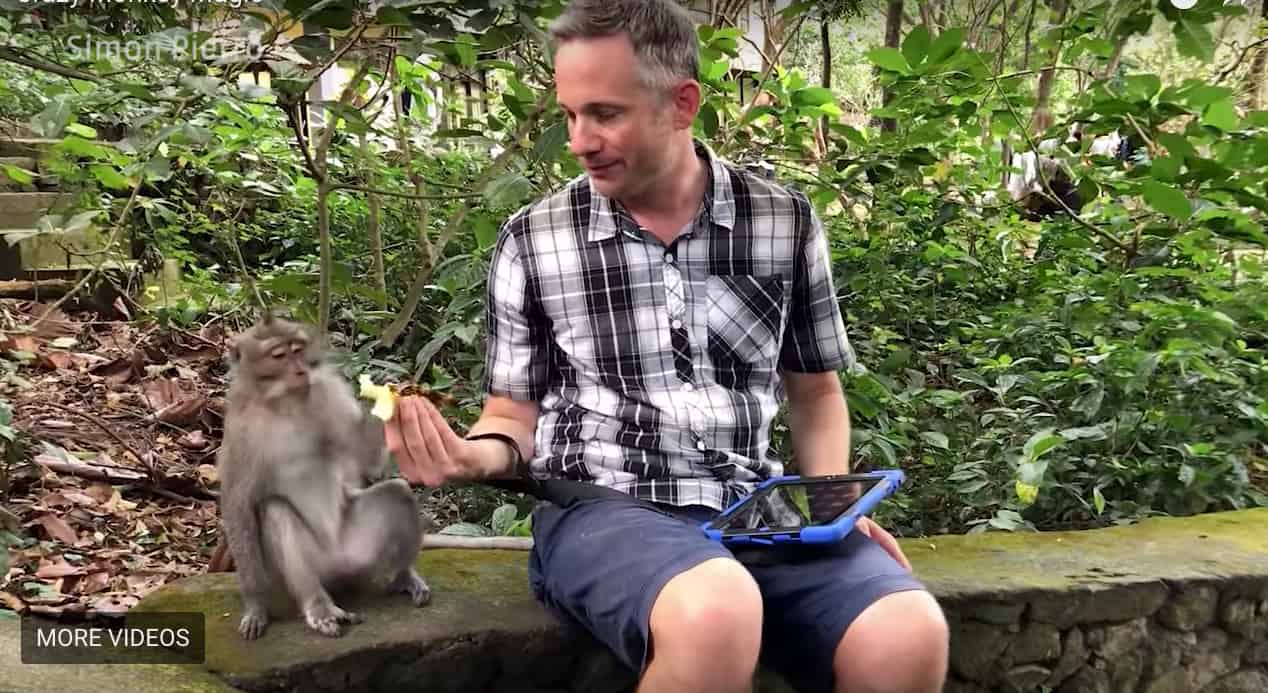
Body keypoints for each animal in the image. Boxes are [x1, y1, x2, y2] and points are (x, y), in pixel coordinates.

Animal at [216, 315, 431, 640]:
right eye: (278, 355)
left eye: (297, 349)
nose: (301, 370)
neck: (284, 403)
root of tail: (338, 567)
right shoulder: (240, 432)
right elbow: (238, 505)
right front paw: (255, 605)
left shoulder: (330, 394)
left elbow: (367, 465)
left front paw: (388, 398)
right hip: (297, 572)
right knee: (276, 511)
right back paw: (319, 607)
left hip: (357, 550)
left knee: (398, 492)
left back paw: (403, 575)